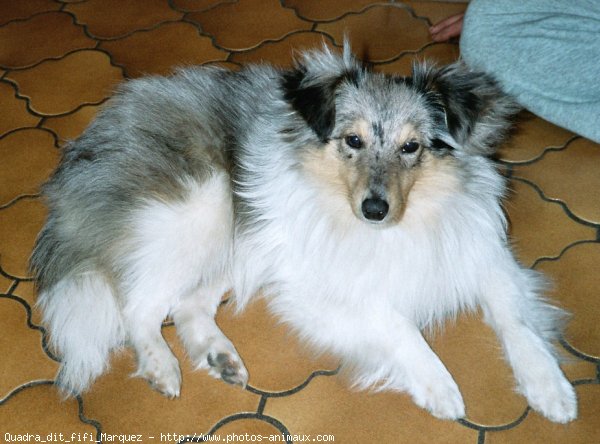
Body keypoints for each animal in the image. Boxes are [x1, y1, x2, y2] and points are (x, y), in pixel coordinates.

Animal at [31, 45, 576, 424]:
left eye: (412, 147)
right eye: (352, 140)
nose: (374, 210)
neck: (405, 221)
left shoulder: (481, 253)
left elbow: (515, 320)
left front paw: (550, 387)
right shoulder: (320, 287)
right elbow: (398, 324)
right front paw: (438, 386)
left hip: (234, 243)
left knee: (185, 305)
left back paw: (219, 355)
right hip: (202, 210)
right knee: (138, 307)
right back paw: (163, 367)